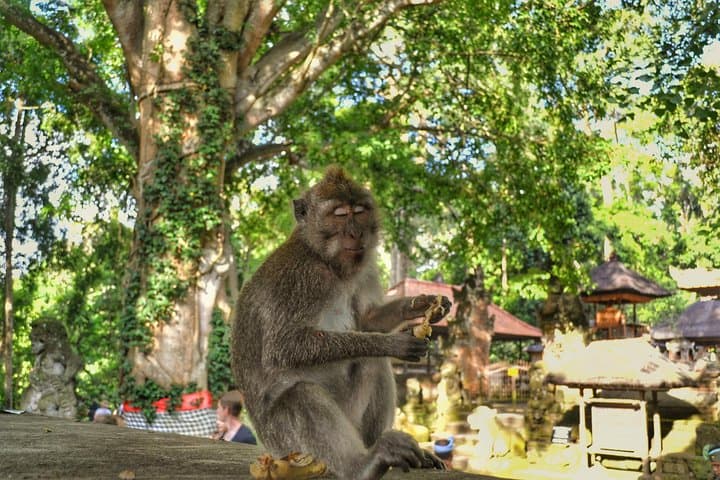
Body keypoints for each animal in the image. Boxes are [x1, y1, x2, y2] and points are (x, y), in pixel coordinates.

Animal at [231, 166, 452, 480]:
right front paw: (390, 343)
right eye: (339, 214)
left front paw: (422, 304)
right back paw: (362, 466)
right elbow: (283, 348)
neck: (325, 260)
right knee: (301, 394)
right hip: (286, 443)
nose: (355, 232)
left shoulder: (364, 269)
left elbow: (368, 318)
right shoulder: (300, 279)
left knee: (374, 365)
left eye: (359, 212)